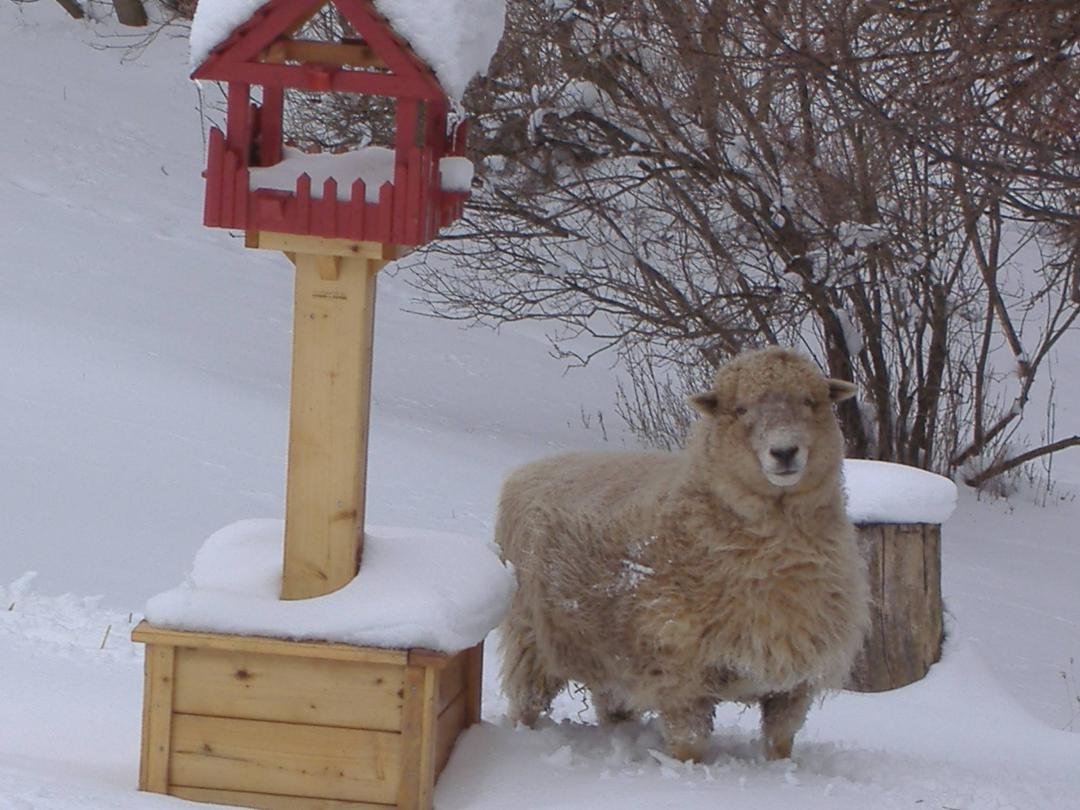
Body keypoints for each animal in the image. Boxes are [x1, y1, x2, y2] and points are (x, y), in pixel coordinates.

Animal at [494, 346, 870, 762]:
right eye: (740, 408)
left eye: (810, 401)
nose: (785, 452)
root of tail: (527, 469)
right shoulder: (679, 671)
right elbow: (689, 743)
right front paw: (688, 770)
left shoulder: (794, 680)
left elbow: (780, 742)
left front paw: (778, 768)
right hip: (530, 635)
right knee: (525, 700)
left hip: (610, 654)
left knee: (611, 705)